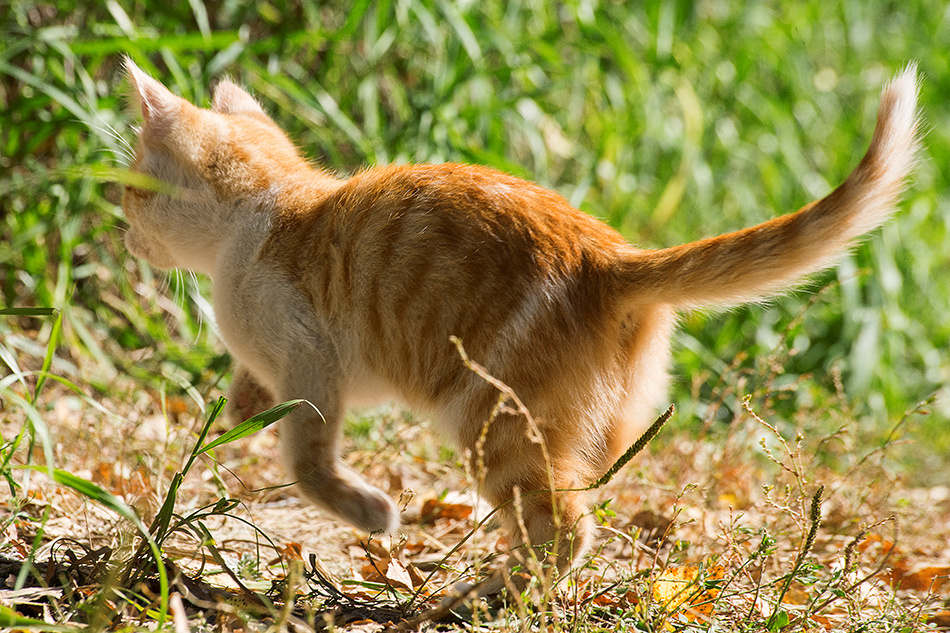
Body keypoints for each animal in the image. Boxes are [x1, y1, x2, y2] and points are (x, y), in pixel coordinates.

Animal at [121, 59, 924, 588]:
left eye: (131, 192)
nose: (122, 227)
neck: (263, 212)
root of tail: (608, 256)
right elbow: (253, 402)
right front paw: (240, 409)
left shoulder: (313, 364)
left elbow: (305, 458)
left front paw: (371, 512)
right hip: (576, 428)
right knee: (575, 507)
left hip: (493, 422)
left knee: (565, 529)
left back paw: (492, 595)